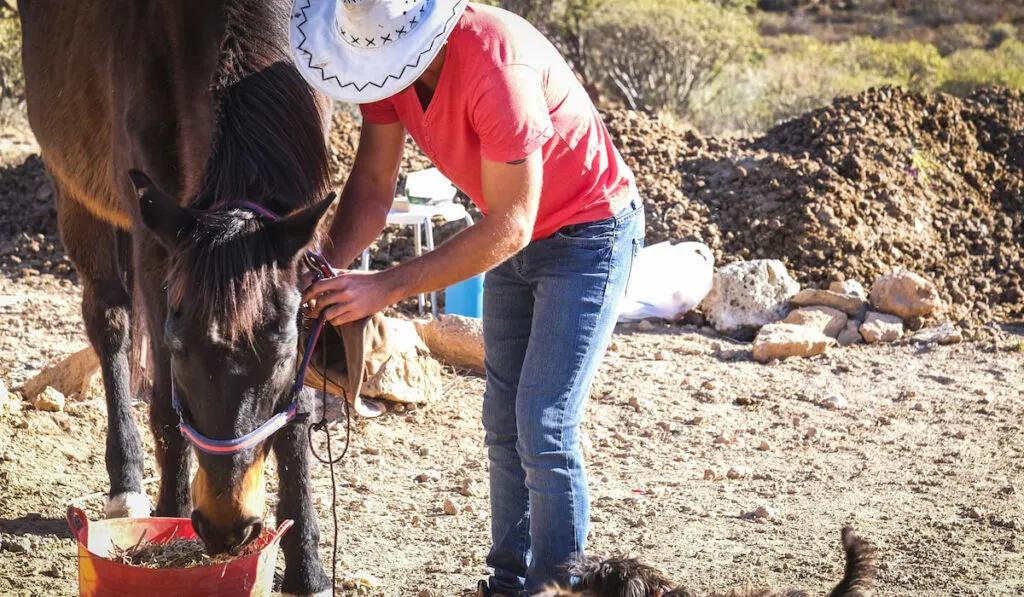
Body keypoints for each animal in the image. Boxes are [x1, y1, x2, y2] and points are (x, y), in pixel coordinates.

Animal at [18, 2, 348, 593]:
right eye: (177, 348)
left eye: (283, 353)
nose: (227, 528)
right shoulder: (157, 246)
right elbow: (164, 406)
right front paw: (167, 522)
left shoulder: (307, 247)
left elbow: (299, 412)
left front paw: (307, 568)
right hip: (75, 193)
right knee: (110, 322)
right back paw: (127, 485)